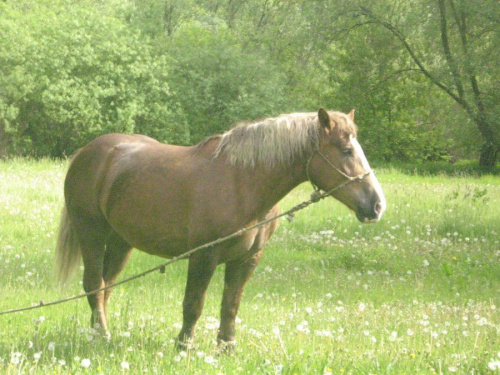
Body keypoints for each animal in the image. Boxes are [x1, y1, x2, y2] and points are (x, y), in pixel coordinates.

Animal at [54, 108, 386, 350]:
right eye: (346, 150)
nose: (376, 205)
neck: (242, 182)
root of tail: (88, 153)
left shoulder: (247, 259)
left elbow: (230, 305)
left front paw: (226, 347)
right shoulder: (204, 256)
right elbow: (193, 304)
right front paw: (184, 346)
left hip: (122, 241)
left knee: (106, 286)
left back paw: (99, 333)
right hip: (92, 234)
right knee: (94, 285)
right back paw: (102, 335)